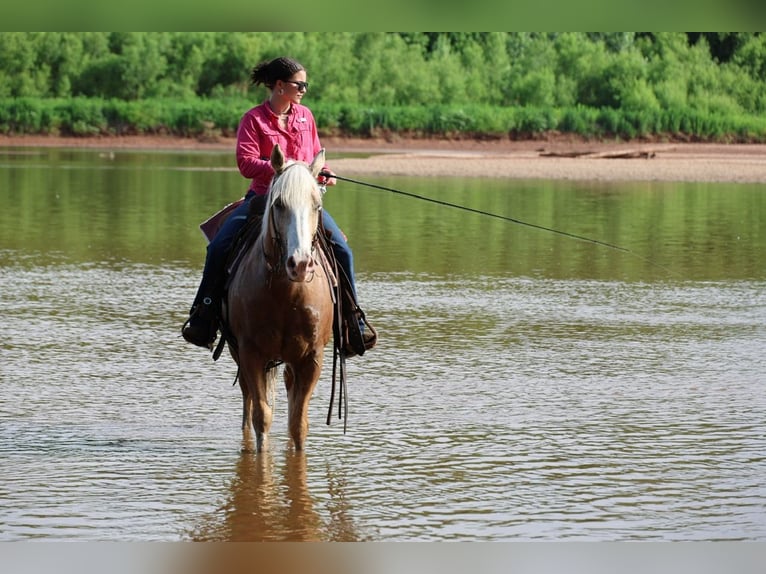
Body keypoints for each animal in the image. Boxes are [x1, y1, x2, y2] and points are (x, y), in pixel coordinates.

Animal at [226, 144, 334, 452]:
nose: (300, 264)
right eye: (279, 205)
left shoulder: (311, 359)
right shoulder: (250, 353)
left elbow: (298, 423)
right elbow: (262, 417)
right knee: (248, 399)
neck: (288, 296)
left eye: (317, 206)